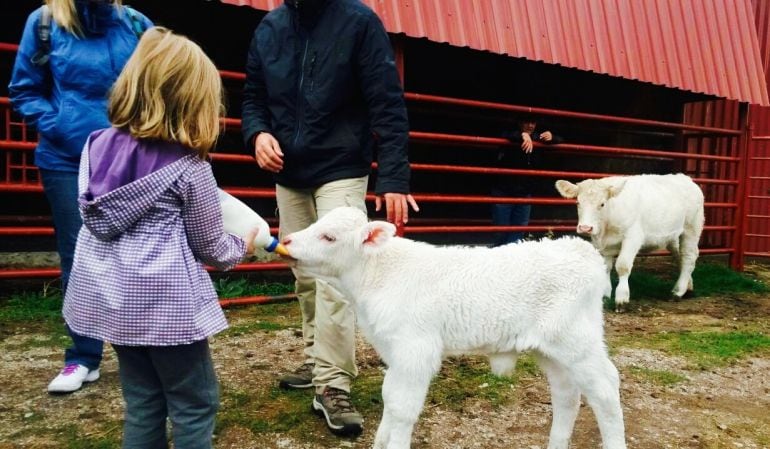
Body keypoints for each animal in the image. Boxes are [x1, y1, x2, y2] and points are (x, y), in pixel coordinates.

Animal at [282, 206, 624, 448]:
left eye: (329, 237)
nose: (285, 241)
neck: (379, 274)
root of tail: (579, 250)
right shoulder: (396, 353)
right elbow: (390, 398)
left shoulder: (416, 350)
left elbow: (403, 407)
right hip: (550, 349)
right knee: (567, 393)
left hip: (577, 340)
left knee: (606, 389)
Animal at [556, 173, 700, 310]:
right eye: (578, 203)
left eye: (602, 204)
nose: (585, 228)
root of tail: (684, 178)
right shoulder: (604, 245)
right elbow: (606, 267)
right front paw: (605, 295)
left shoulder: (633, 237)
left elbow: (623, 266)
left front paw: (622, 299)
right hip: (673, 237)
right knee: (680, 257)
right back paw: (688, 288)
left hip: (691, 229)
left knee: (688, 258)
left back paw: (677, 292)